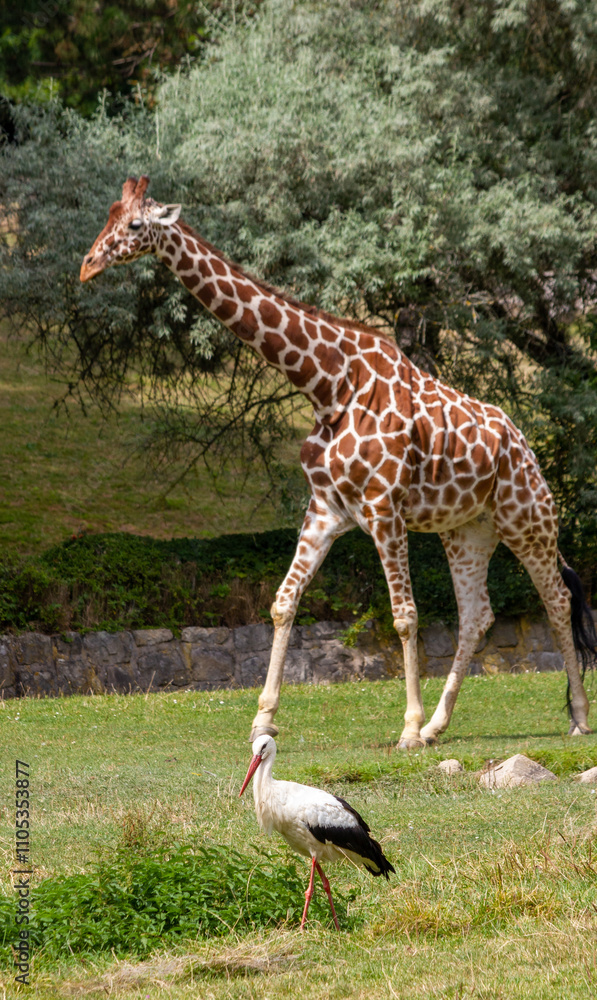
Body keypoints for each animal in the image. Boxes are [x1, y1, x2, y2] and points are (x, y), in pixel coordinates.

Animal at [81, 176, 596, 748]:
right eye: (108, 215)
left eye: (133, 225)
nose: (87, 265)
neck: (327, 384)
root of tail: (525, 445)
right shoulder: (325, 509)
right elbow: (284, 601)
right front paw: (264, 719)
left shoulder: (384, 508)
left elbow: (405, 616)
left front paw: (407, 728)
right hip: (467, 531)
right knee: (477, 615)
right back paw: (440, 725)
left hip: (527, 520)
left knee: (558, 601)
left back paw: (575, 717)